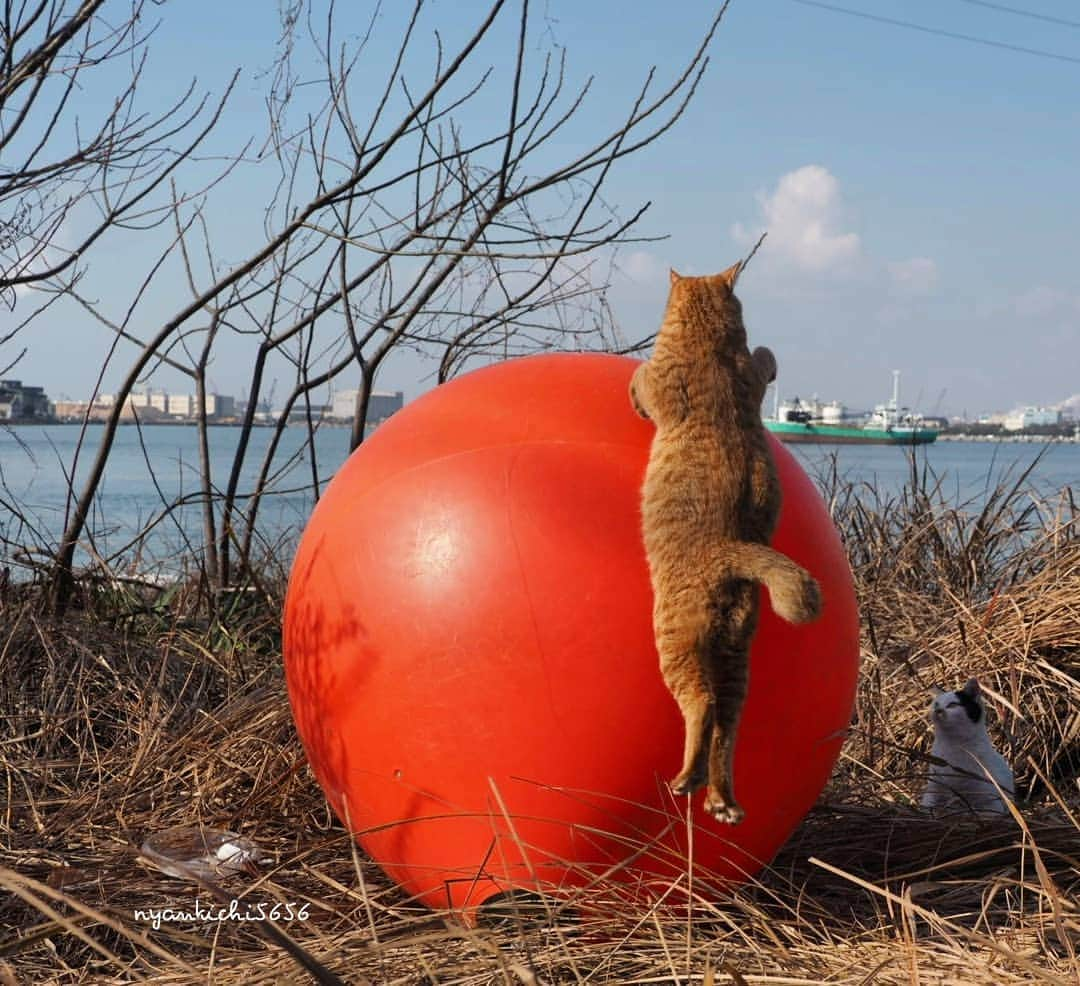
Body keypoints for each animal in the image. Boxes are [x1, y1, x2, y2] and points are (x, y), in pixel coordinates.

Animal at [630, 261, 820, 825]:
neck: (710, 343)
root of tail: (733, 552)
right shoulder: (752, 372)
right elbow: (765, 358)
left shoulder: (657, 382)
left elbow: (638, 378)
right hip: (736, 657)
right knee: (727, 729)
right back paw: (722, 799)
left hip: (675, 644)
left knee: (702, 707)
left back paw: (685, 780)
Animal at [920, 678, 1010, 816]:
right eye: (936, 704)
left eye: (952, 705)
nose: (938, 710)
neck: (954, 744)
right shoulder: (934, 789)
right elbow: (926, 806)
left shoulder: (992, 804)